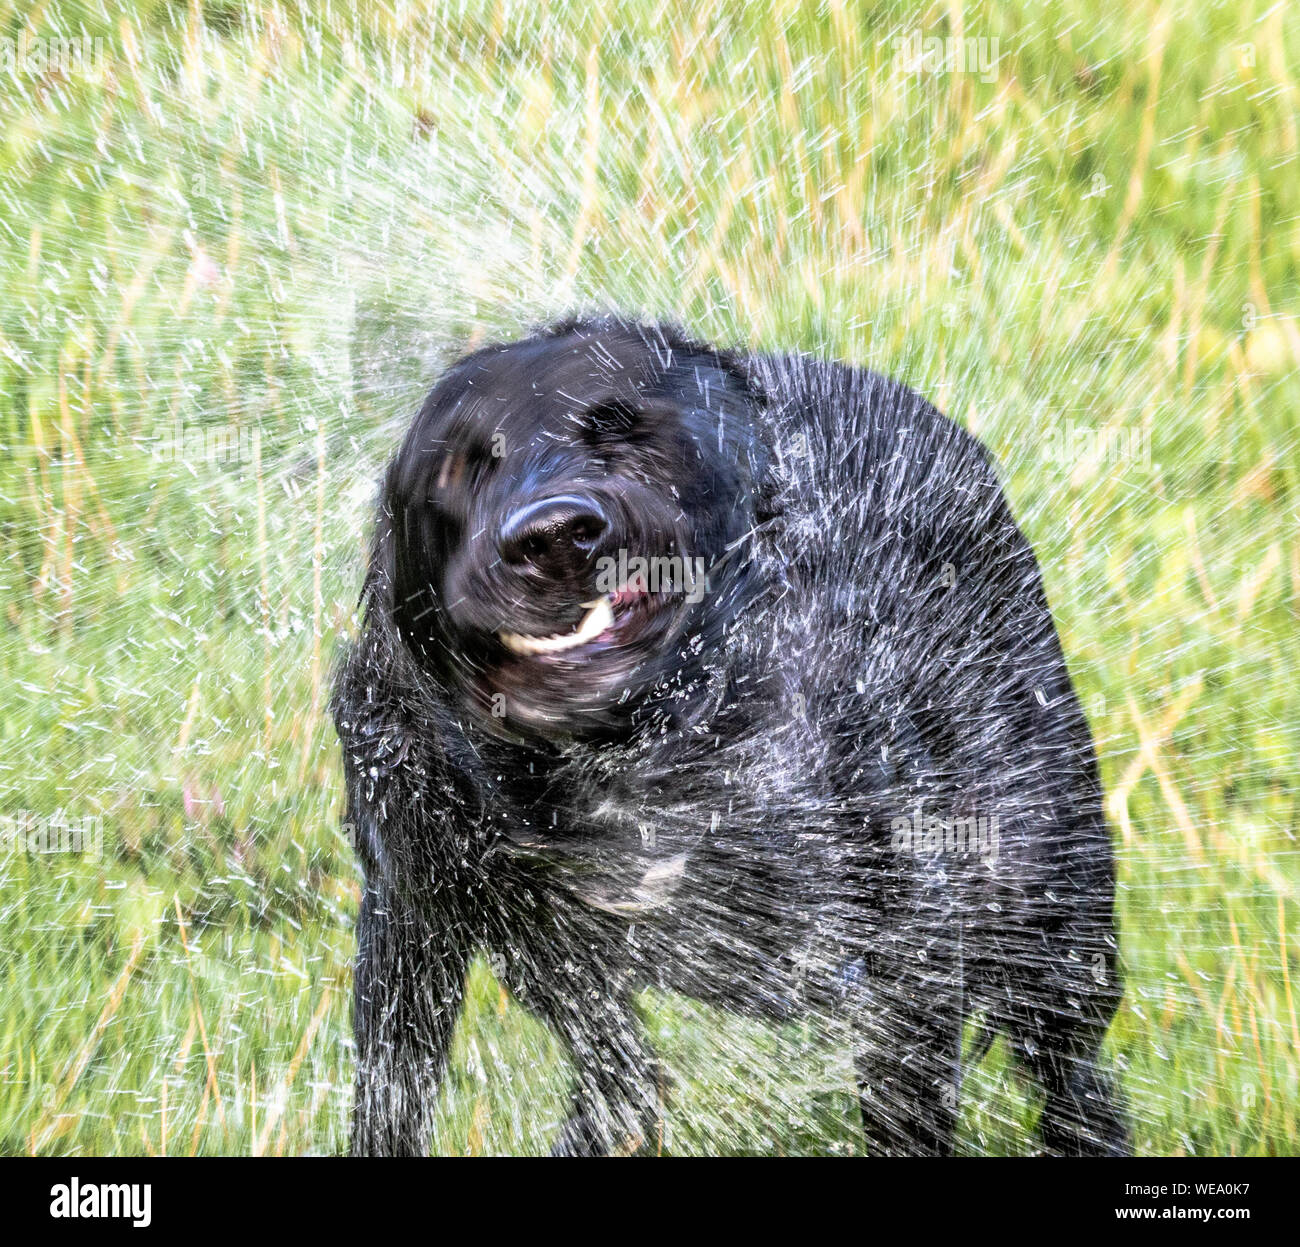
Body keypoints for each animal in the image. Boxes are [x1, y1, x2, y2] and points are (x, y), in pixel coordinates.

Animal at [332, 317, 1128, 1154]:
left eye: (620, 425)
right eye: (461, 465)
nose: (556, 534)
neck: (622, 760)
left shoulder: (911, 951)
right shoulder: (420, 906)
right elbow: (401, 1097)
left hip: (1053, 896)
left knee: (1071, 1070)